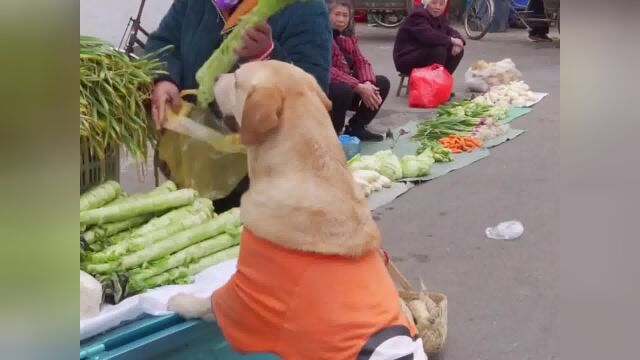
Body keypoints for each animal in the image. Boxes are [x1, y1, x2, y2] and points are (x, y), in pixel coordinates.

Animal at [168, 61, 424, 360]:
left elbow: (210, 303)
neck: (311, 169)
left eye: (237, 79)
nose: (217, 75)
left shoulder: (248, 293)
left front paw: (181, 301)